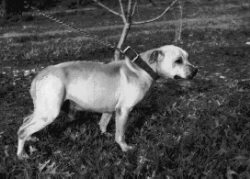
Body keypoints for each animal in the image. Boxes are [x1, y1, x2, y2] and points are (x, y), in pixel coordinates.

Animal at [16, 45, 198, 159]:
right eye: (178, 61)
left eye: (188, 58)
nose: (196, 70)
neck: (142, 68)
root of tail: (42, 73)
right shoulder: (124, 110)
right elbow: (121, 133)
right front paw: (124, 148)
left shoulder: (110, 110)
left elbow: (103, 123)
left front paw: (105, 134)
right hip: (49, 113)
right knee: (22, 131)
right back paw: (21, 154)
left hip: (42, 110)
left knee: (25, 120)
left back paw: (31, 139)